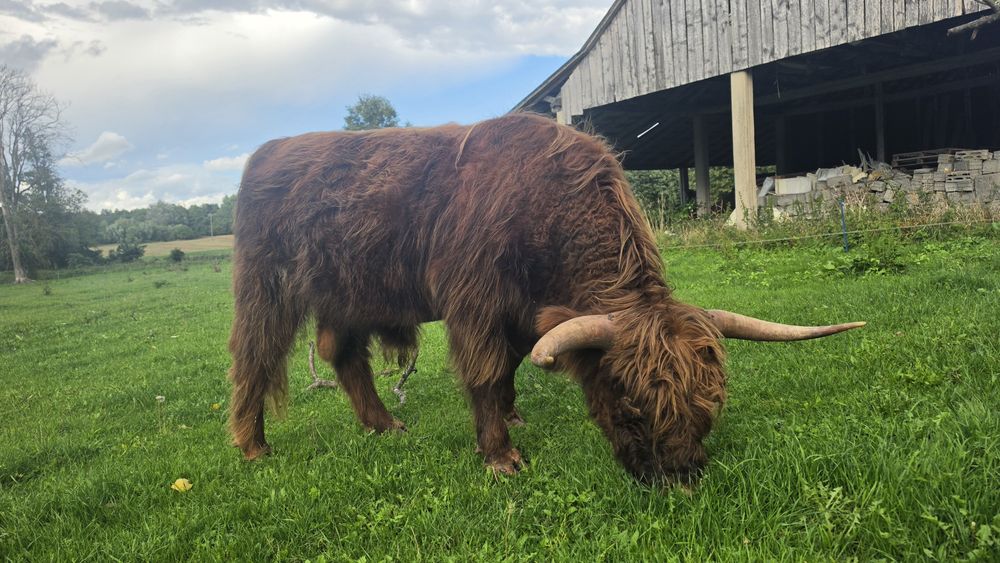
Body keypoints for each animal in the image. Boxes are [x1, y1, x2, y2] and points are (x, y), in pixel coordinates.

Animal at [227, 113, 863, 484]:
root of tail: (266, 153)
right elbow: (485, 370)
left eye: (710, 405)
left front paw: (512, 416)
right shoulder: (475, 299)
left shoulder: (525, 313)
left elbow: (510, 366)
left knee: (342, 354)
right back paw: (253, 445)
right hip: (265, 283)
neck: (543, 202)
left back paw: (384, 425)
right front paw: (500, 455)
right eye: (631, 402)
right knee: (253, 356)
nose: (679, 478)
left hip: (351, 292)